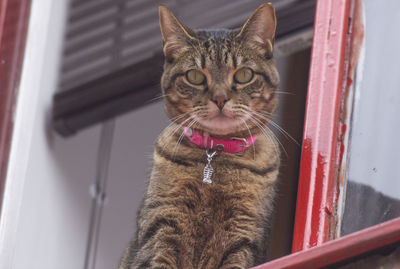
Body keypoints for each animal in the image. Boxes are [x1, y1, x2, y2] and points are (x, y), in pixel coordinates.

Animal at [120, 2, 280, 268]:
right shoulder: (162, 224)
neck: (217, 156)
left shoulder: (244, 235)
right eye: (194, 76)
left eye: (244, 75)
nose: (220, 98)